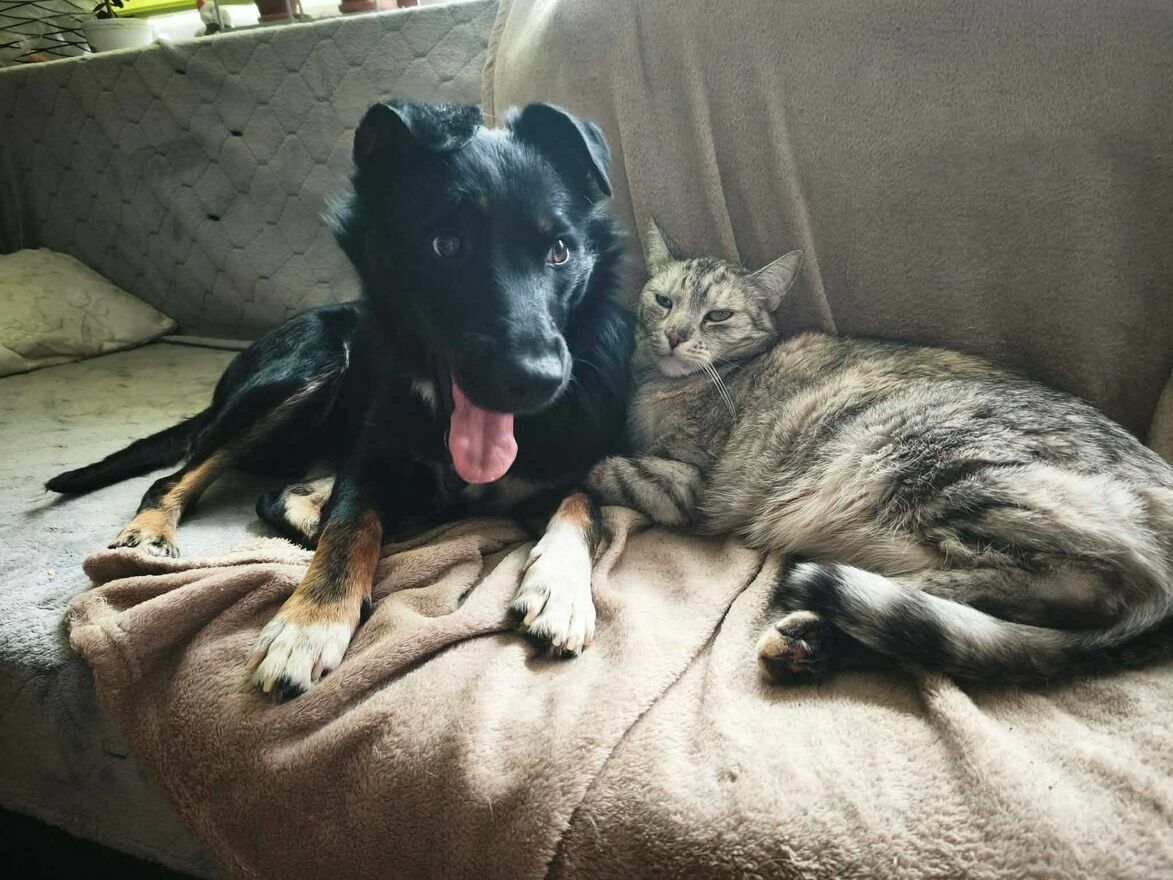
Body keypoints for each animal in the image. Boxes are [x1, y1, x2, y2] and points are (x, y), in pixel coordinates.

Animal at [47, 99, 633, 699]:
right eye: (446, 245)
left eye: (559, 250)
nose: (536, 380)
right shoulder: (369, 462)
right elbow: (350, 528)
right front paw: (308, 622)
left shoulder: (562, 474)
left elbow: (585, 509)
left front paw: (559, 589)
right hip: (310, 367)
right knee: (187, 478)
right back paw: (154, 529)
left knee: (283, 491)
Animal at [586, 220, 1173, 683]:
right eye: (663, 301)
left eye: (718, 316)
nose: (675, 334)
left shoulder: (689, 483)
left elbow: (603, 471)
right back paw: (813, 641)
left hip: (935, 463)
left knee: (1062, 588)